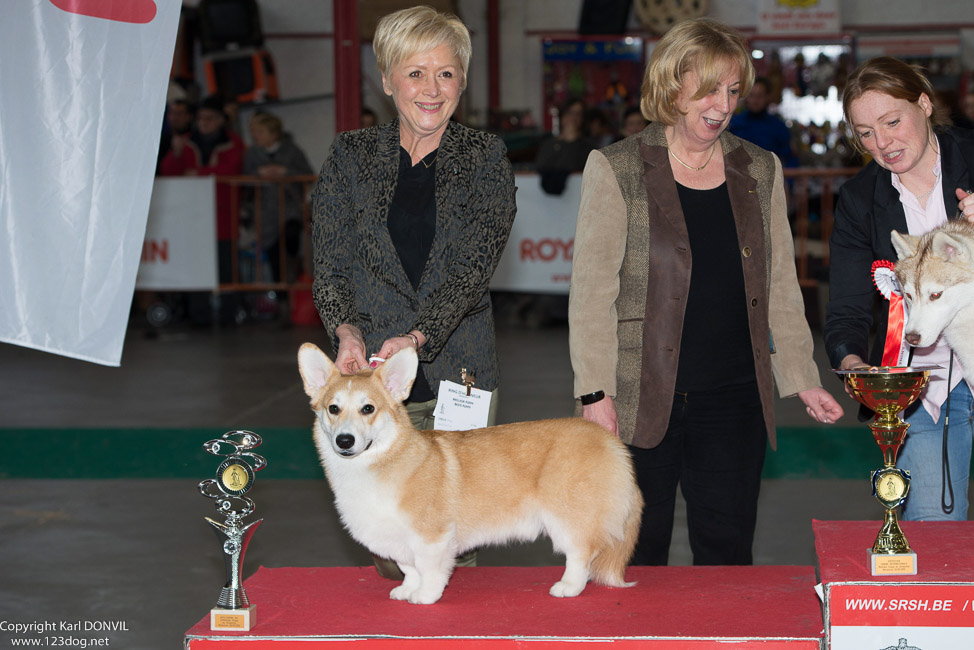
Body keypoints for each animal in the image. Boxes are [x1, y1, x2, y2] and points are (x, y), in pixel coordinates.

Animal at [300, 344, 648, 604]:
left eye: (368, 409)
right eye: (333, 409)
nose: (344, 441)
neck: (380, 461)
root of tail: (611, 442)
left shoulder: (433, 536)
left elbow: (429, 570)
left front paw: (425, 596)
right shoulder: (398, 540)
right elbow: (408, 568)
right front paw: (406, 591)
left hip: (568, 517)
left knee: (580, 555)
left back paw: (567, 587)